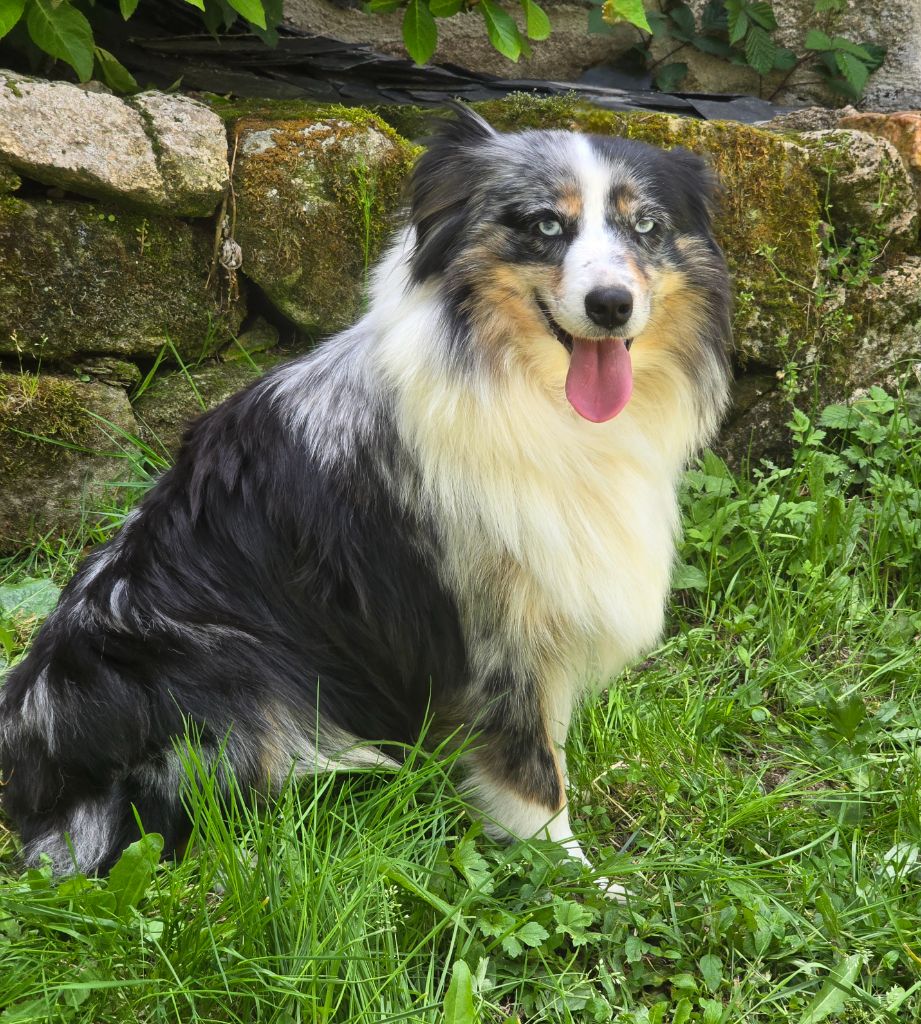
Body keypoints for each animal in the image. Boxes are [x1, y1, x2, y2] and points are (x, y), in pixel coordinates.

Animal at [0, 106, 731, 879]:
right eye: (544, 224)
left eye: (646, 225)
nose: (612, 305)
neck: (523, 388)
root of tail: (38, 784)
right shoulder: (493, 626)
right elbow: (533, 772)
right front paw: (574, 875)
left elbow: (548, 749)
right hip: (235, 680)